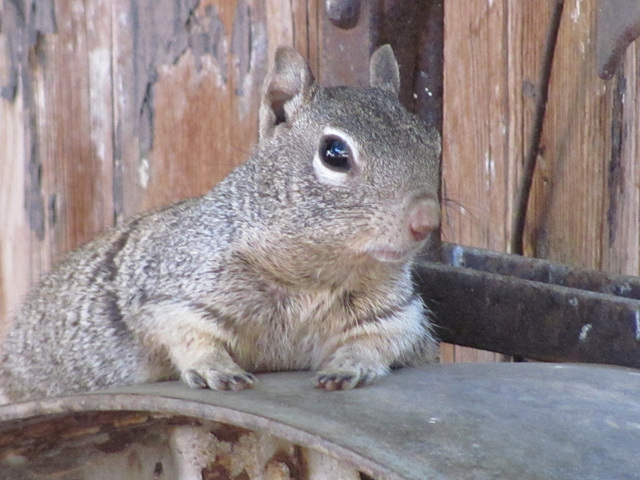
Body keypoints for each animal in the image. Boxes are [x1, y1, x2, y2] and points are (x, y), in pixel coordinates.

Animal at [0, 45, 440, 402]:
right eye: (334, 153)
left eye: (434, 140)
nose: (426, 219)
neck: (317, 274)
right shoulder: (175, 291)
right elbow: (185, 332)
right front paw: (216, 368)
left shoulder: (395, 312)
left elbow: (379, 339)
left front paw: (351, 365)